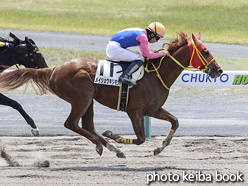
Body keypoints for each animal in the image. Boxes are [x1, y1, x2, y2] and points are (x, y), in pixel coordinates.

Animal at [0, 32, 223, 157]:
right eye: (205, 51)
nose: (218, 70)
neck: (157, 74)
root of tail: (54, 69)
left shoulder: (153, 109)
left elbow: (175, 121)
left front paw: (159, 148)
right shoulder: (135, 111)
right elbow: (140, 139)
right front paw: (115, 136)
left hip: (88, 100)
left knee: (87, 125)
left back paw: (110, 147)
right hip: (82, 98)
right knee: (71, 124)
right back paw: (104, 143)